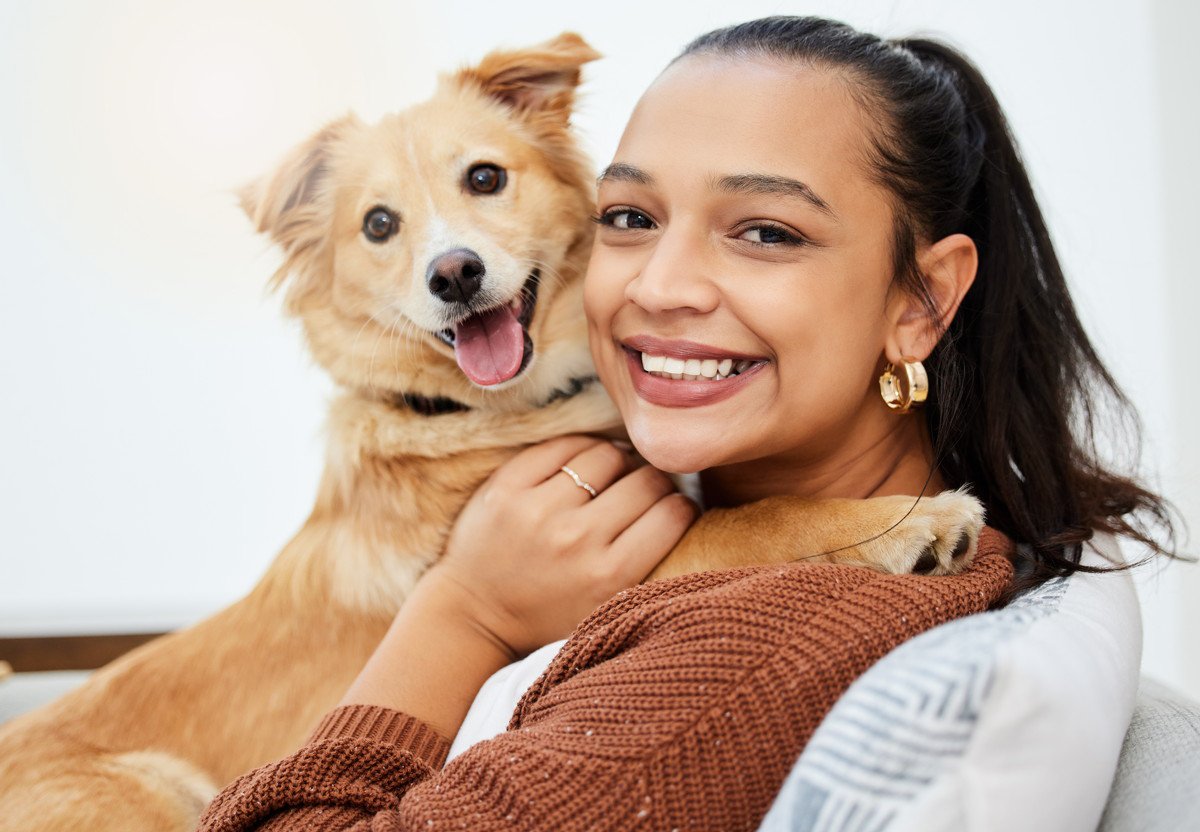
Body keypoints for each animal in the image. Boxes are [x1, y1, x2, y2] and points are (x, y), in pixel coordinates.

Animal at [0, 35, 979, 825]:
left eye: (484, 177)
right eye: (379, 224)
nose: (455, 273)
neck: (494, 411)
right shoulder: (628, 555)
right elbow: (759, 520)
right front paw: (915, 519)